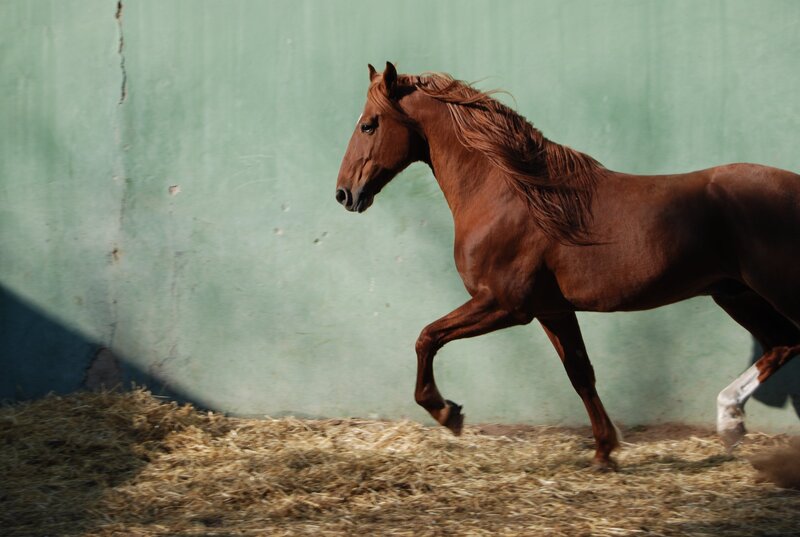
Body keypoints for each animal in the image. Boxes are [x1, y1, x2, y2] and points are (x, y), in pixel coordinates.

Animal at [335, 62, 800, 469]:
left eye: (369, 124)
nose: (344, 193)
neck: (511, 195)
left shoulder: (505, 305)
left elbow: (427, 337)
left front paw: (447, 412)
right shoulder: (552, 310)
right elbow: (580, 374)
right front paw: (604, 452)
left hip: (773, 291)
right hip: (737, 295)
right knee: (783, 344)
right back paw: (730, 424)